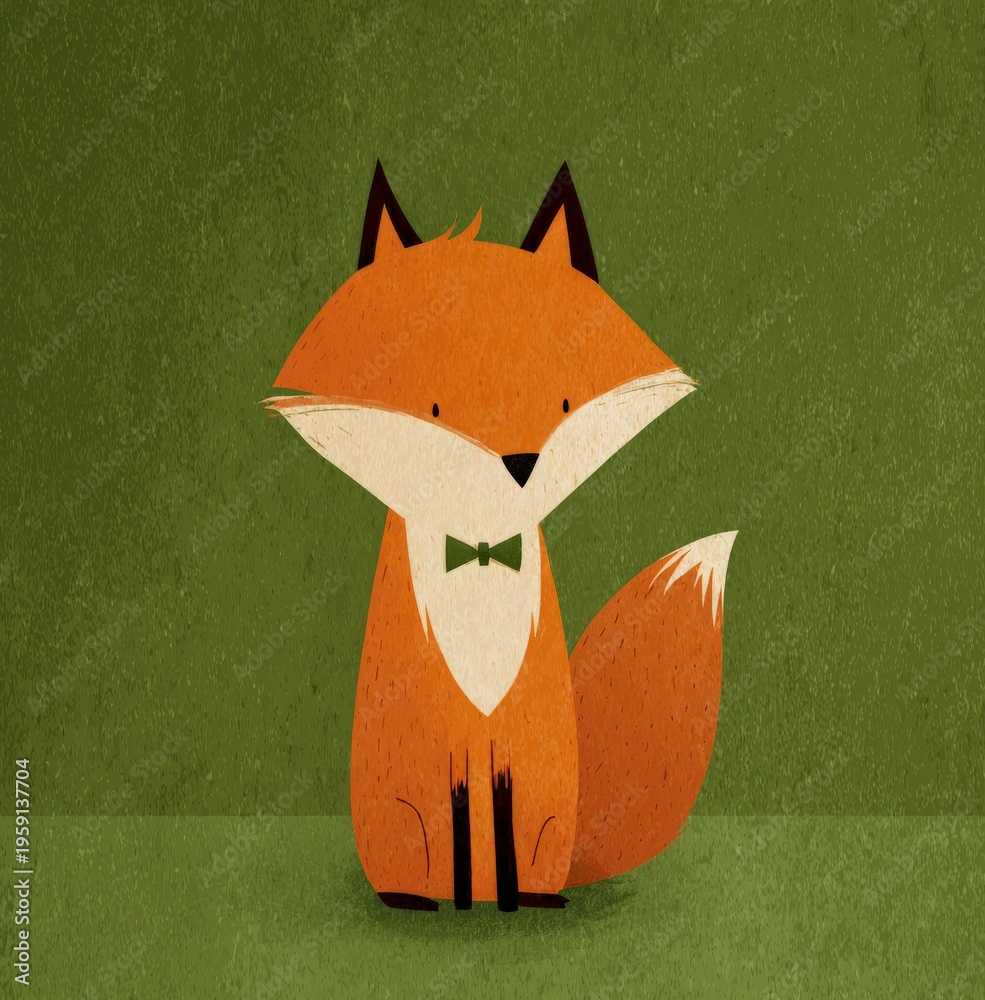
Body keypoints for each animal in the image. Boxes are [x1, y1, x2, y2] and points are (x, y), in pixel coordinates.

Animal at [265, 161, 737, 911]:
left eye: (564, 402)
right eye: (433, 409)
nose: (521, 463)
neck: (481, 559)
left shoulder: (519, 747)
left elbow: (503, 818)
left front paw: (513, 896)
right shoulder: (441, 748)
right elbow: (457, 812)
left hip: (552, 814)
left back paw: (525, 898)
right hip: (396, 816)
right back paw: (426, 898)